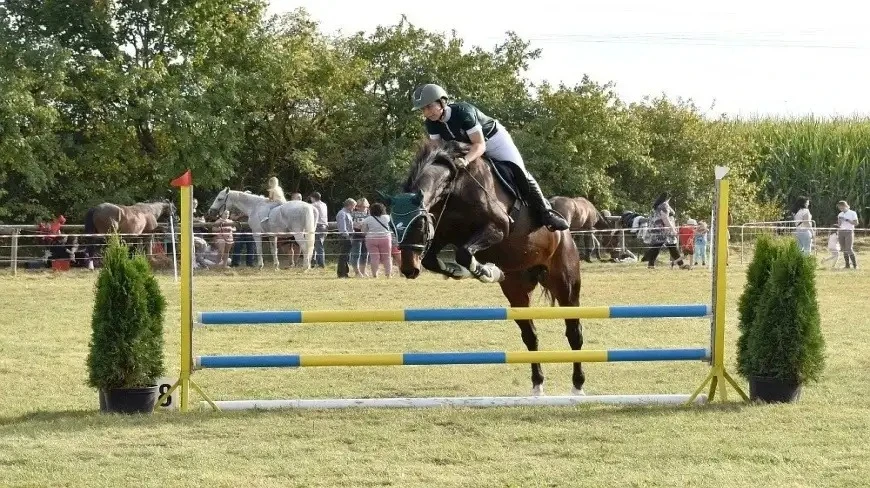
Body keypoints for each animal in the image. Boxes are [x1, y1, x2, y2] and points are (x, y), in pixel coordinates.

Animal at [386, 138, 584, 396]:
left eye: (419, 223)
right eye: (392, 226)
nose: (409, 269)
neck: (454, 187)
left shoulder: (497, 228)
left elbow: (463, 253)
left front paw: (487, 271)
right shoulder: (443, 235)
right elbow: (437, 259)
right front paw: (466, 271)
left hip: (564, 282)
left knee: (574, 332)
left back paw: (578, 386)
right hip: (516, 290)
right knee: (530, 335)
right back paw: (537, 384)